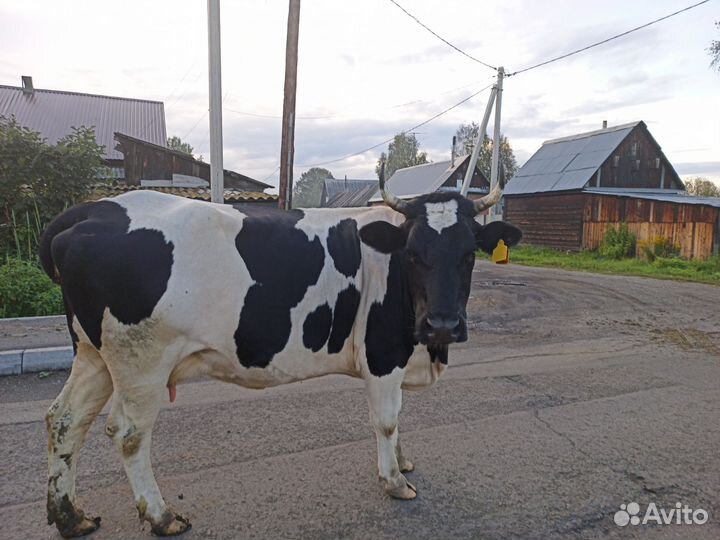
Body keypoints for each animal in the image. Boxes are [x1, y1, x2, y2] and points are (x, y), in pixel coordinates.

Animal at [39, 170, 521, 538]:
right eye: (415, 254)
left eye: (469, 254)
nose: (443, 324)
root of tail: (95, 207)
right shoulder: (383, 353)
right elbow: (386, 421)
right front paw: (395, 480)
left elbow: (398, 419)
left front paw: (403, 462)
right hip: (141, 361)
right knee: (128, 434)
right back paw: (161, 517)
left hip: (94, 355)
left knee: (65, 420)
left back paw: (70, 517)